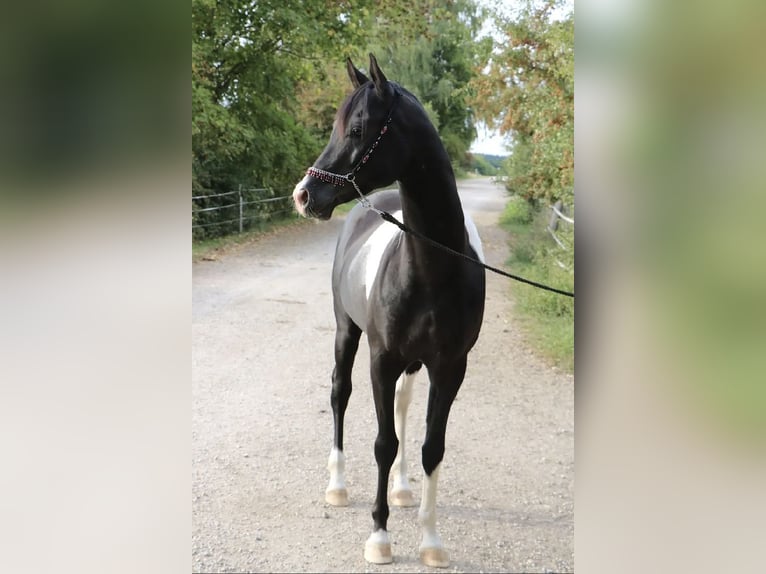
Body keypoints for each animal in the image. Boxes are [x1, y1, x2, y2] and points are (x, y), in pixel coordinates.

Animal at [292, 54, 486, 567]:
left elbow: (430, 447)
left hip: (412, 363)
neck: (433, 269)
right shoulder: (380, 357)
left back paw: (400, 490)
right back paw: (338, 486)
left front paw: (431, 541)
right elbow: (383, 443)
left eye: (358, 128)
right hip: (347, 332)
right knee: (340, 393)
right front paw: (379, 536)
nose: (303, 194)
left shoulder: (449, 367)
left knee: (401, 405)